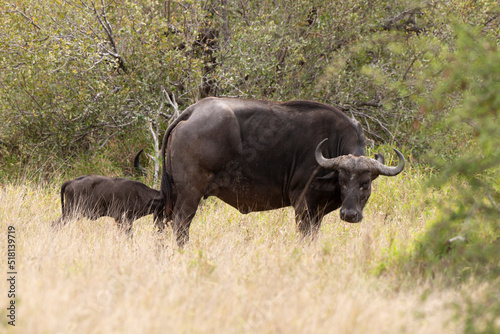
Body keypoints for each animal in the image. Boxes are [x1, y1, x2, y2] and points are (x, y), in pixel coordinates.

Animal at [162, 96, 404, 245]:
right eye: (342, 181)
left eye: (365, 183)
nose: (350, 215)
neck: (331, 143)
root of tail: (192, 111)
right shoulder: (303, 205)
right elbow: (304, 237)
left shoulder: (318, 212)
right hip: (190, 194)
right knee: (181, 225)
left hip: (173, 193)